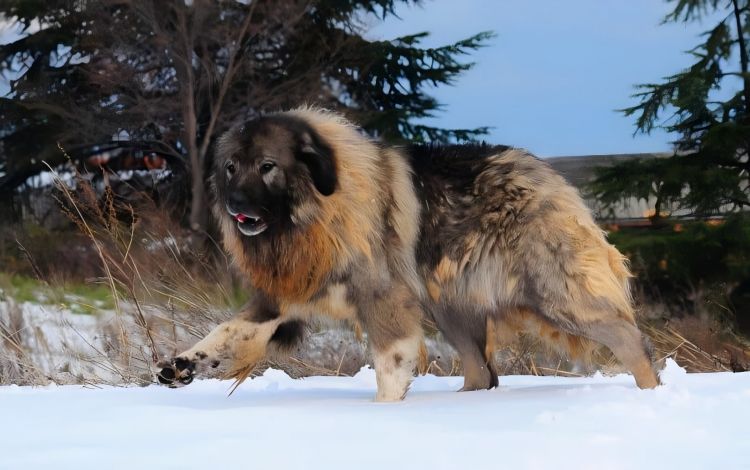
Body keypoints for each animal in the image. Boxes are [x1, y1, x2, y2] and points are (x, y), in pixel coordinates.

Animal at [157, 107, 656, 400]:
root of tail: (548, 175)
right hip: (451, 309)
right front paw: (181, 365)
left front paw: (385, 414)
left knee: (631, 340)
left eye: (267, 167)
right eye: (230, 167)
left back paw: (651, 393)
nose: (235, 205)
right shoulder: (279, 298)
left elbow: (389, 366)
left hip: (557, 297)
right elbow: (224, 334)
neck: (318, 212)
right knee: (482, 373)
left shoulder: (383, 301)